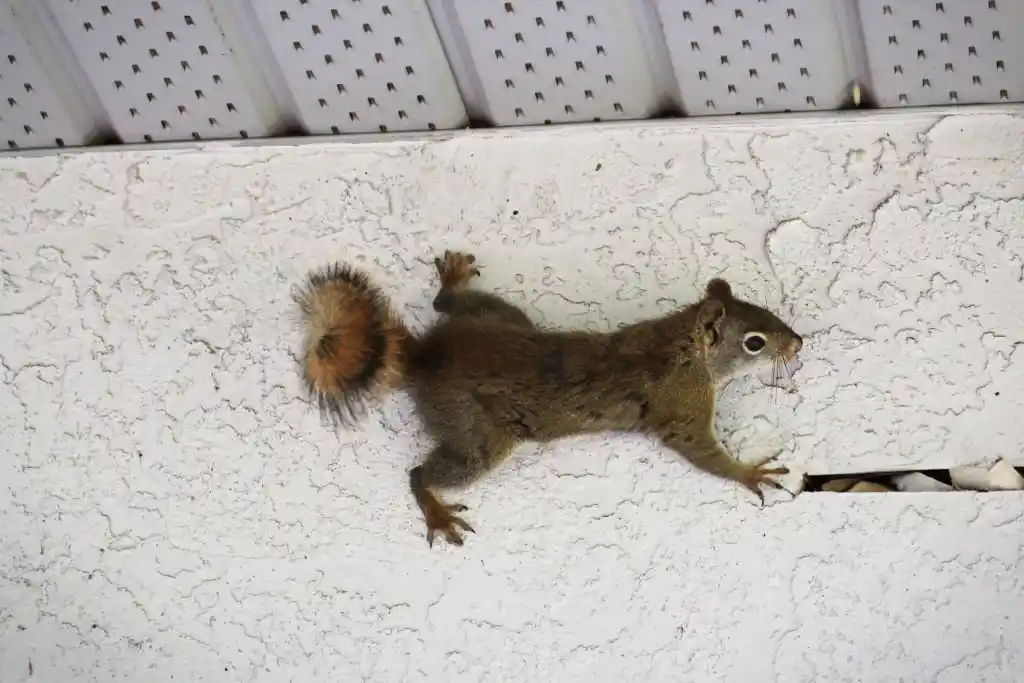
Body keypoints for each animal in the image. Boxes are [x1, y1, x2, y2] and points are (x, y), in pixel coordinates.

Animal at [299, 252, 806, 548]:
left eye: (766, 311)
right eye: (755, 342)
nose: (798, 343)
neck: (682, 346)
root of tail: (427, 357)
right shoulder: (682, 409)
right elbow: (704, 453)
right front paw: (749, 473)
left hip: (499, 316)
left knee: (447, 306)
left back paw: (454, 281)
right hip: (478, 435)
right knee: (420, 472)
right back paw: (437, 512)